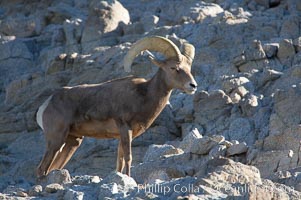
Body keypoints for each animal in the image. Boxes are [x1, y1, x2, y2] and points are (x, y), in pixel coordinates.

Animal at [35, 35, 197, 177]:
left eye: (189, 68)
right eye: (173, 68)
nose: (193, 86)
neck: (143, 96)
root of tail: (46, 105)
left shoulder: (123, 135)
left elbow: (120, 160)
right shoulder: (125, 129)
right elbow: (128, 158)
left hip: (72, 142)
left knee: (52, 168)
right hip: (56, 140)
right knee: (42, 169)